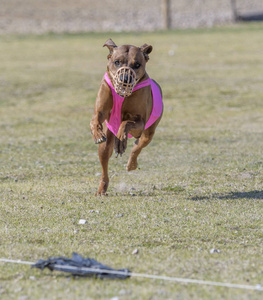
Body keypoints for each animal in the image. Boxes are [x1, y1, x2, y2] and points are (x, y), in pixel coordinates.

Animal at [92, 38, 164, 196]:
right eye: (117, 62)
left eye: (137, 64)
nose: (125, 78)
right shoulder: (101, 107)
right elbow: (96, 118)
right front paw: (97, 134)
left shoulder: (140, 123)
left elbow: (126, 122)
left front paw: (121, 139)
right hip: (106, 144)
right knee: (104, 158)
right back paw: (101, 189)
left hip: (148, 133)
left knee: (137, 146)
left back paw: (131, 163)